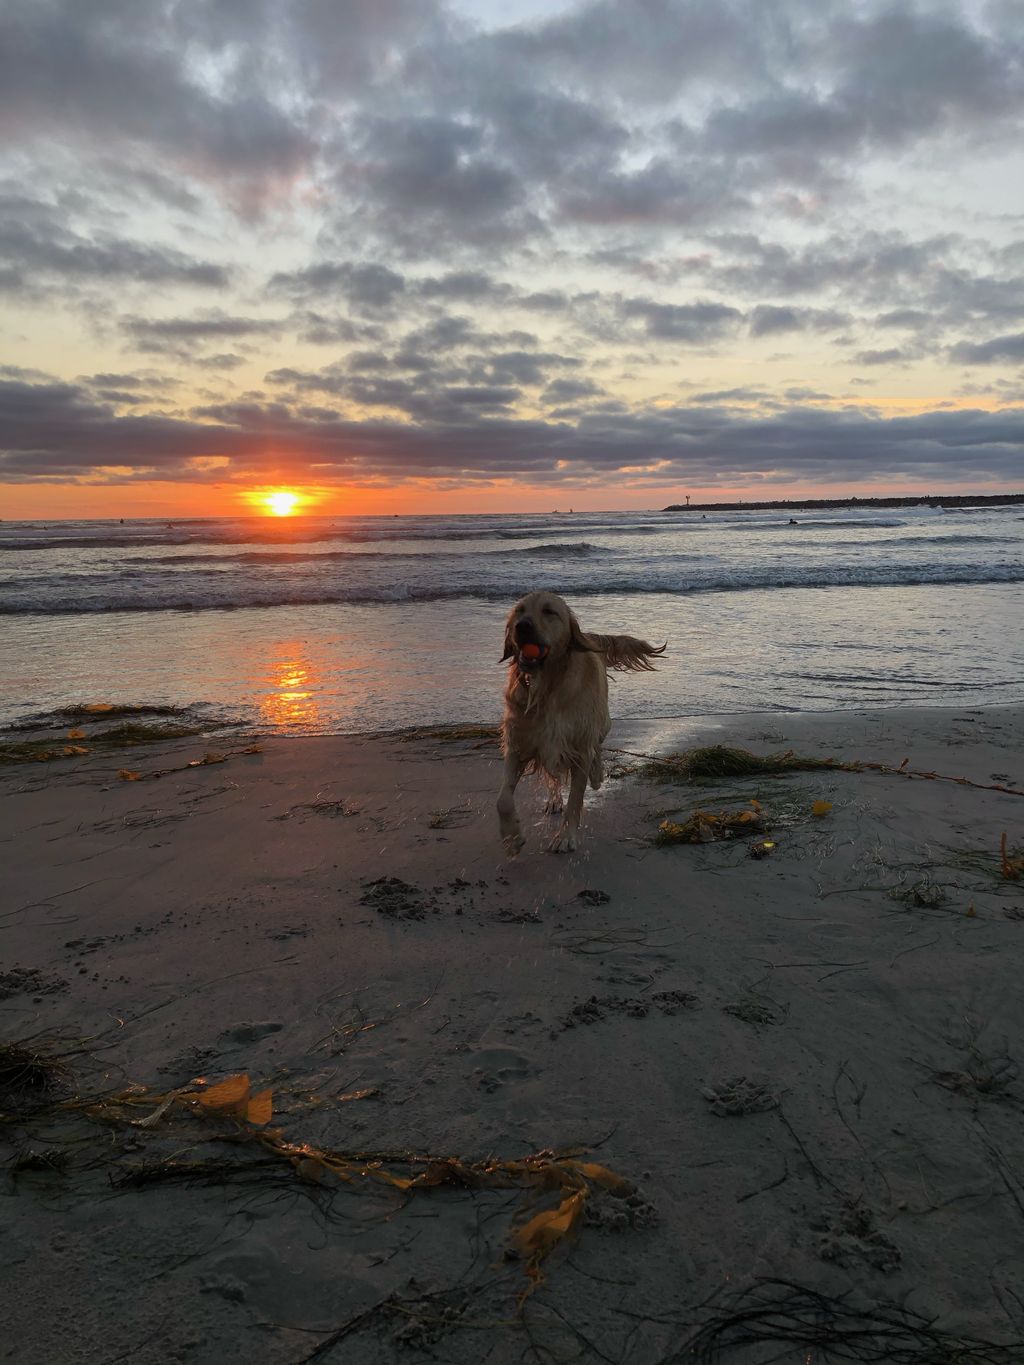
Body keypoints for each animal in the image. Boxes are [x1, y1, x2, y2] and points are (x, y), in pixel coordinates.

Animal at [496, 595, 666, 851]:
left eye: (549, 611)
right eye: (519, 611)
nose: (522, 626)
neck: (547, 687)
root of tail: (589, 636)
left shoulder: (579, 748)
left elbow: (576, 798)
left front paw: (565, 836)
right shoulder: (519, 743)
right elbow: (503, 798)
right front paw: (512, 837)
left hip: (602, 722)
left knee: (598, 747)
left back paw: (596, 775)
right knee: (553, 775)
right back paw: (554, 799)